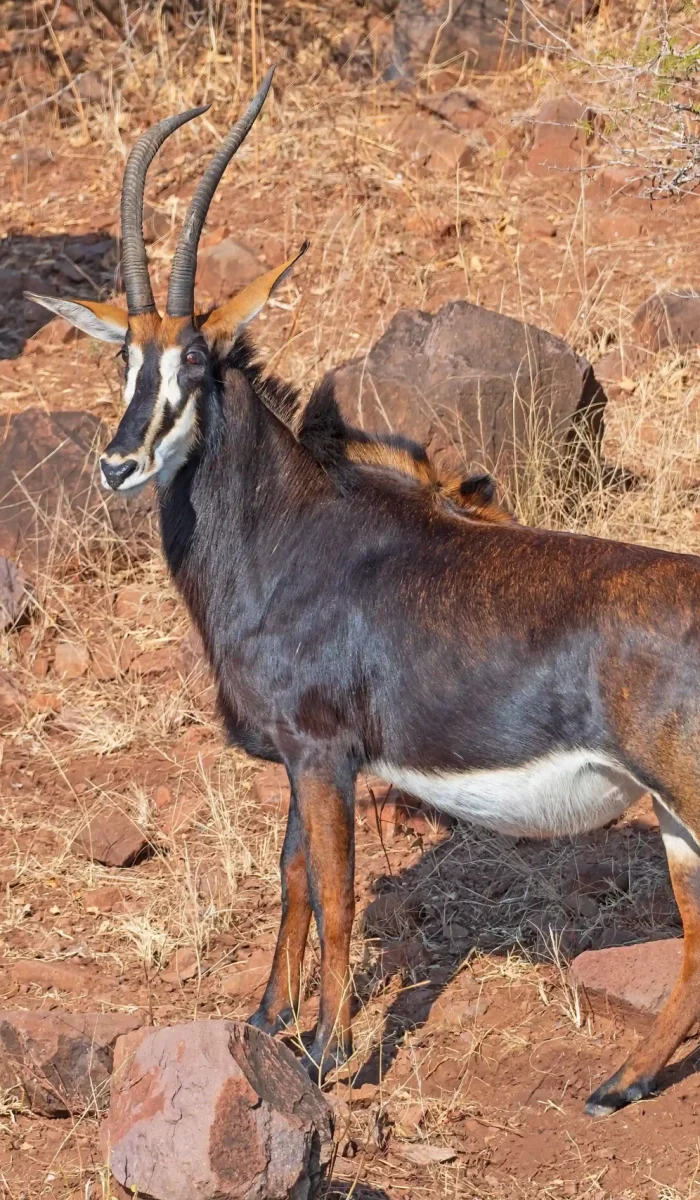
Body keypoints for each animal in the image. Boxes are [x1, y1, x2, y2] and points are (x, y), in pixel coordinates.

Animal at [27, 71, 700, 1118]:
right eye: (123, 359)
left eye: (195, 362)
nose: (119, 464)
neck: (294, 537)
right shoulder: (303, 761)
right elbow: (294, 877)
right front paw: (267, 1021)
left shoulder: (322, 752)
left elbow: (337, 893)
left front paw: (323, 1053)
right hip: (672, 815)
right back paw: (620, 1084)